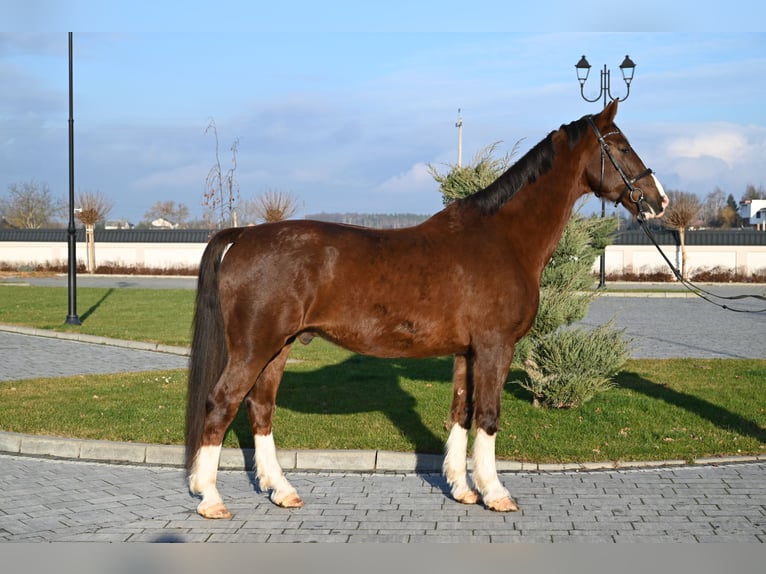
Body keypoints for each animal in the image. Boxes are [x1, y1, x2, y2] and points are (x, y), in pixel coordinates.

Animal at [184, 100, 664, 520]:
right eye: (622, 146)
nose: (657, 200)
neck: (502, 238)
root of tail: (244, 235)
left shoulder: (467, 352)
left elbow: (460, 412)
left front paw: (462, 488)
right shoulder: (495, 347)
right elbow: (488, 415)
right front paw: (495, 493)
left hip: (278, 347)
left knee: (260, 408)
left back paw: (282, 491)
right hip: (253, 348)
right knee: (222, 403)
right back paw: (210, 498)